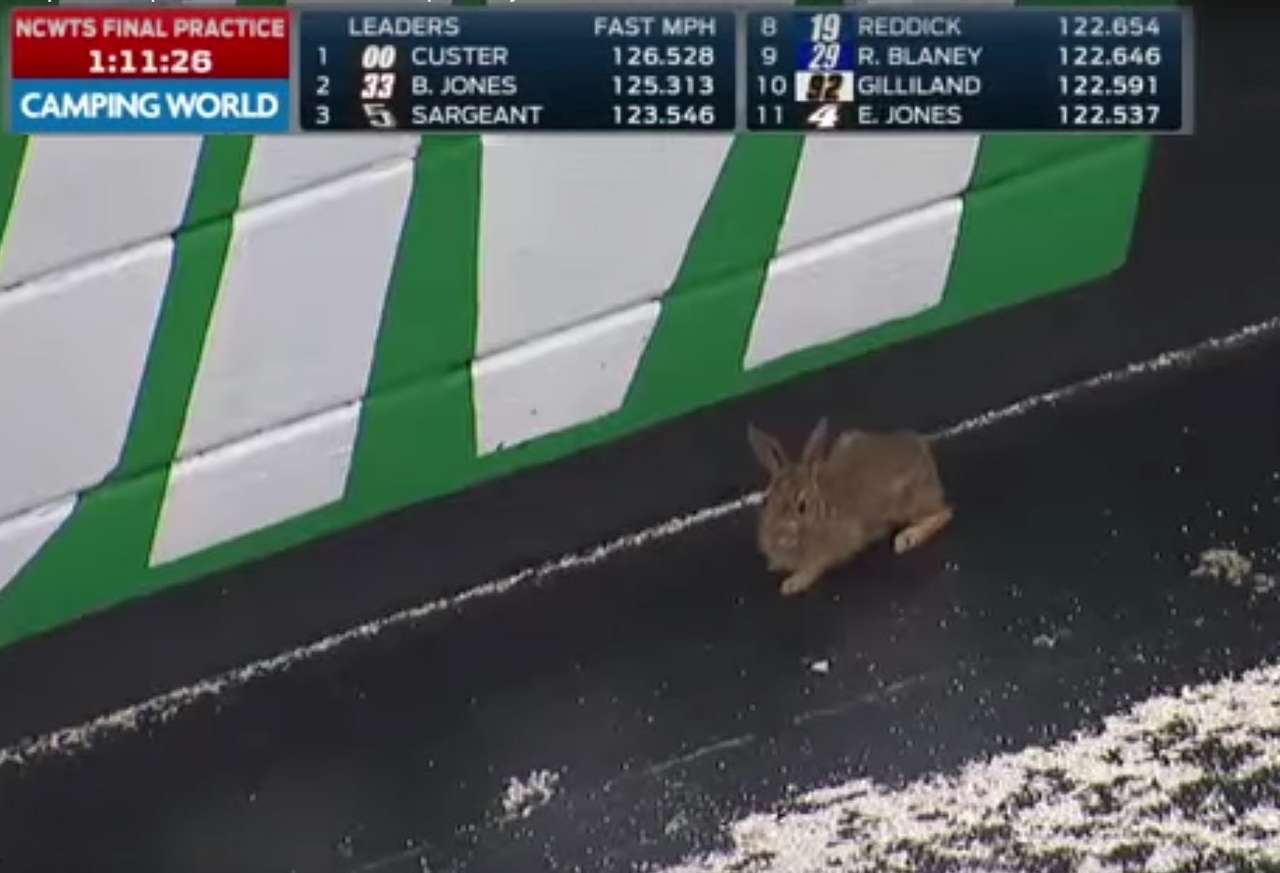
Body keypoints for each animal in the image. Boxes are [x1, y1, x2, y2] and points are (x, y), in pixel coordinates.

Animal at [747, 417, 953, 596]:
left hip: (905, 505)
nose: (779, 536)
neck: (820, 511)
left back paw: (908, 537)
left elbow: (815, 566)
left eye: (802, 506)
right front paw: (775, 564)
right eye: (766, 500)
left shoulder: (832, 547)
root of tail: (922, 449)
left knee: (945, 512)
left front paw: (793, 583)